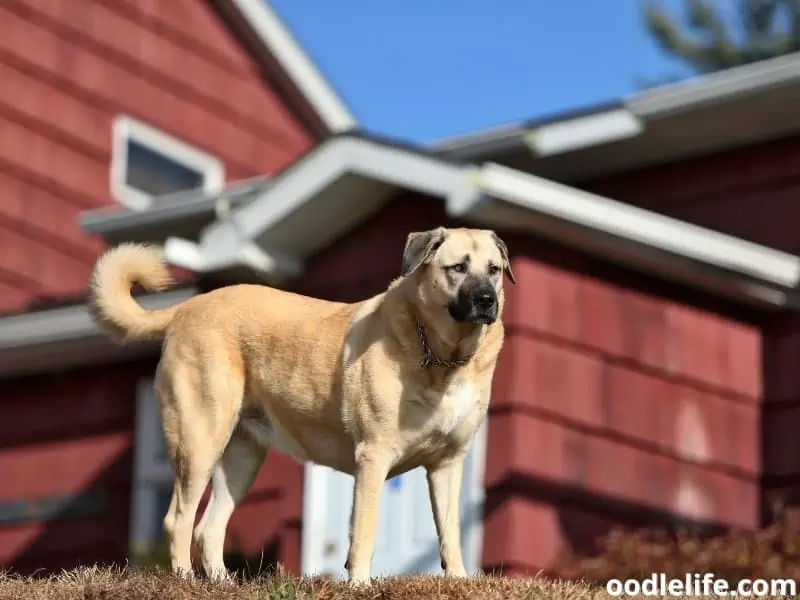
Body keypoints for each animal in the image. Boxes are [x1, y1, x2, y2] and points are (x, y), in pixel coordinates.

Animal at [87, 227, 512, 584]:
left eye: (494, 270)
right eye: (458, 268)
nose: (487, 301)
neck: (444, 360)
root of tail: (187, 308)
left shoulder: (447, 463)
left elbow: (450, 530)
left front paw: (458, 581)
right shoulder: (373, 457)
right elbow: (365, 530)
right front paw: (359, 585)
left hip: (242, 457)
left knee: (208, 527)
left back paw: (223, 583)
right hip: (199, 440)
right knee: (177, 518)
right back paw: (186, 581)